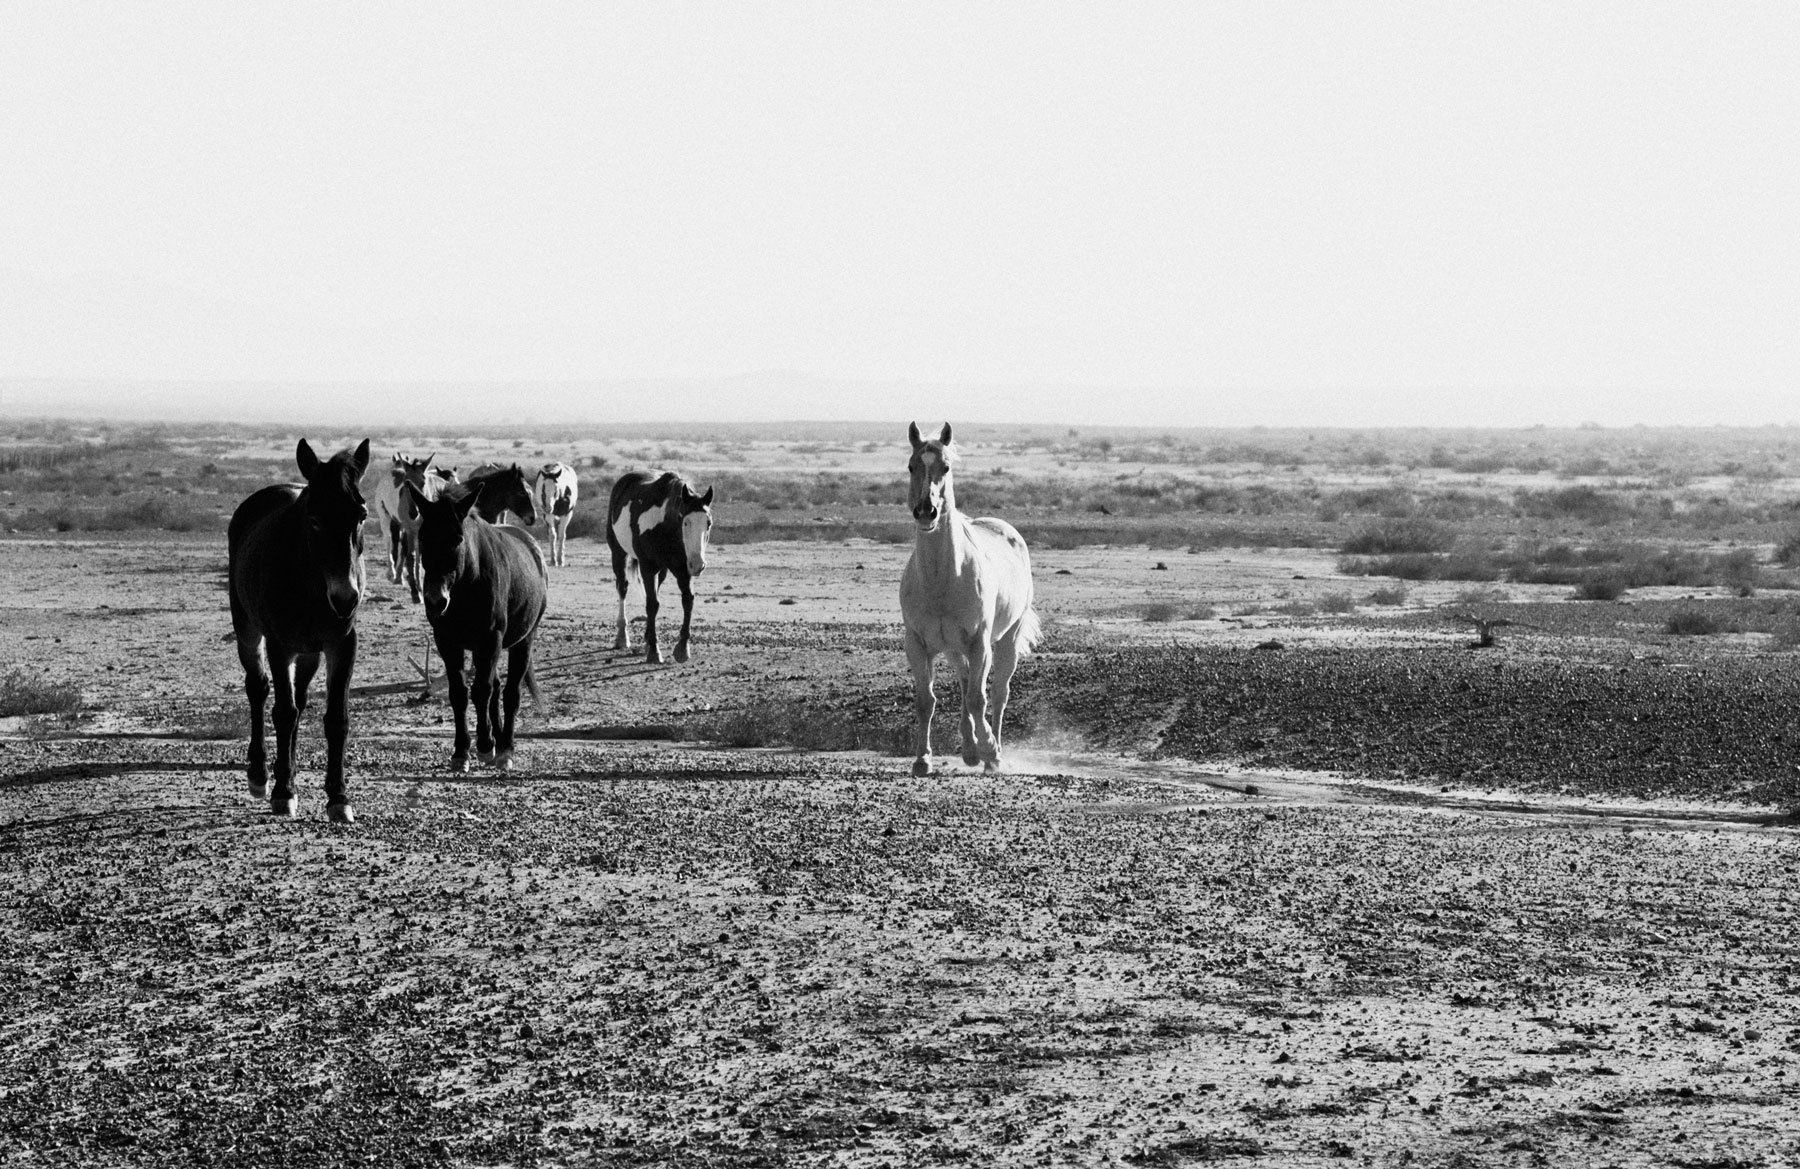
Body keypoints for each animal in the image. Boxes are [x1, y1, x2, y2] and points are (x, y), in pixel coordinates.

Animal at [227, 438, 372, 820]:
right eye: (314, 518)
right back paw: (261, 774)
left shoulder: (341, 644)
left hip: (309, 652)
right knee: (259, 689)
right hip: (247, 629)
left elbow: (335, 718)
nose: (346, 598)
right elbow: (283, 712)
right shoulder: (279, 643)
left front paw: (338, 797)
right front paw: (282, 790)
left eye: (361, 514)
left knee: (299, 697)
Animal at [369, 451, 442, 603]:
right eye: (406, 483)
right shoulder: (410, 530)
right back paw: (392, 573)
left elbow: (420, 558)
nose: (413, 513)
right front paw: (415, 592)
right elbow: (411, 557)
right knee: (389, 542)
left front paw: (421, 588)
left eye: (423, 482)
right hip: (386, 519)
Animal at [406, 479, 549, 772]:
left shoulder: (490, 639)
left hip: (522, 642)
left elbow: (482, 691)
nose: (435, 600)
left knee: (510, 693)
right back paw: (497, 741)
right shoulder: (447, 641)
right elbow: (459, 693)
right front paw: (461, 751)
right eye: (423, 537)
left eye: (457, 538)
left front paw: (484, 746)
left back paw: (505, 748)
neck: (466, 584)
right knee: (496, 687)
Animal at [606, 471, 714, 663]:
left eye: (708, 523)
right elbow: (652, 604)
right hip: (618, 553)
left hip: (663, 571)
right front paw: (654, 651)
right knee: (622, 588)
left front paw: (682, 648)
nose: (698, 564)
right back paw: (622, 637)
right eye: (685, 522)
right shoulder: (648, 567)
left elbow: (687, 600)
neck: (665, 527)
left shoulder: (683, 569)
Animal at [899, 422, 1040, 777]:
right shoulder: (917, 643)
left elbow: (980, 699)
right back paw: (970, 750)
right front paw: (922, 760)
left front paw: (990, 749)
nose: (926, 512)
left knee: (998, 694)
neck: (943, 579)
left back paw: (992, 753)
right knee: (965, 684)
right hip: (953, 649)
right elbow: (926, 701)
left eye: (946, 468)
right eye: (911, 466)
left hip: (1006, 641)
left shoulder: (979, 642)